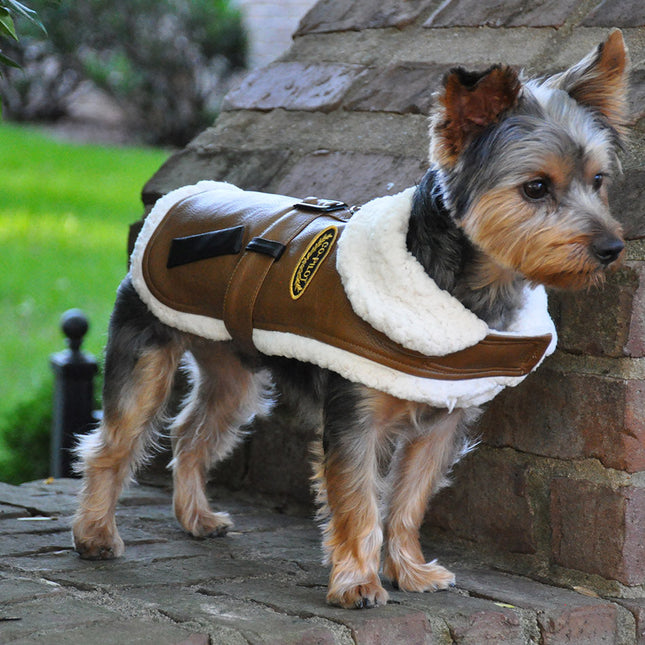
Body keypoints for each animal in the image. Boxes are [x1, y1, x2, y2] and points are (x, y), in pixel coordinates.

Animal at [71, 30, 628, 608]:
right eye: (536, 187)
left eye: (598, 181)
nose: (612, 248)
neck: (462, 285)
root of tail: (182, 198)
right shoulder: (354, 419)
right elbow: (360, 502)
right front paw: (358, 582)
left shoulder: (442, 423)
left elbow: (408, 502)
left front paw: (410, 571)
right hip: (146, 350)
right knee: (112, 443)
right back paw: (95, 535)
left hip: (231, 368)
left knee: (191, 433)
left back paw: (195, 517)